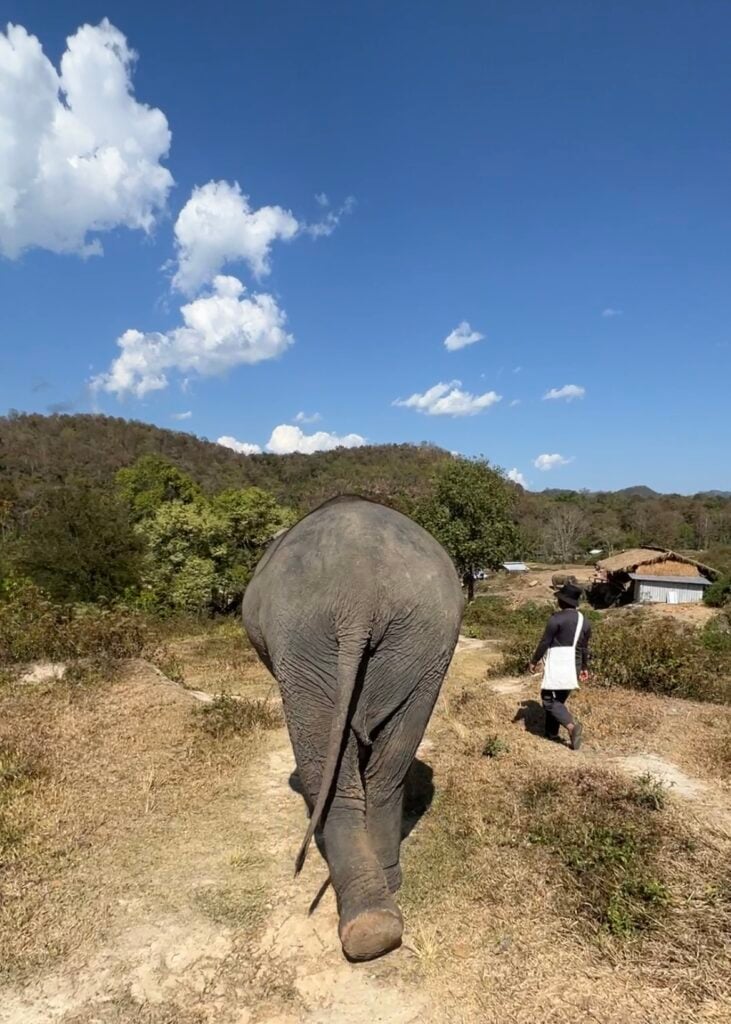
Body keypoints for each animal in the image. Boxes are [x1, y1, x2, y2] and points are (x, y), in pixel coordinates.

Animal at [243, 495, 460, 958]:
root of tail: (357, 597)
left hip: (303, 643)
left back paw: (366, 922)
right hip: (424, 642)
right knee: (389, 769)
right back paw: (382, 903)